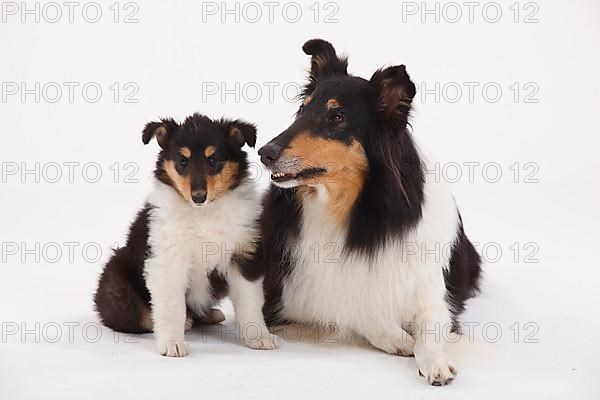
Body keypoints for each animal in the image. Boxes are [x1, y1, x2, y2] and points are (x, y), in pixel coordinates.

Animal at [95, 112, 278, 356]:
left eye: (213, 160)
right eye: (183, 161)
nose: (198, 196)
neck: (203, 213)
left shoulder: (243, 254)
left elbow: (250, 302)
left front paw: (259, 337)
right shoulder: (167, 261)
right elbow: (172, 307)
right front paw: (172, 344)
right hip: (118, 283)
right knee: (140, 317)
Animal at [258, 39, 482, 384]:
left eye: (336, 117)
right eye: (302, 109)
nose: (263, 153)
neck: (345, 211)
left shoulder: (433, 292)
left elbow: (430, 327)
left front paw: (434, 361)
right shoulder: (289, 294)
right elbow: (351, 306)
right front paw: (400, 338)